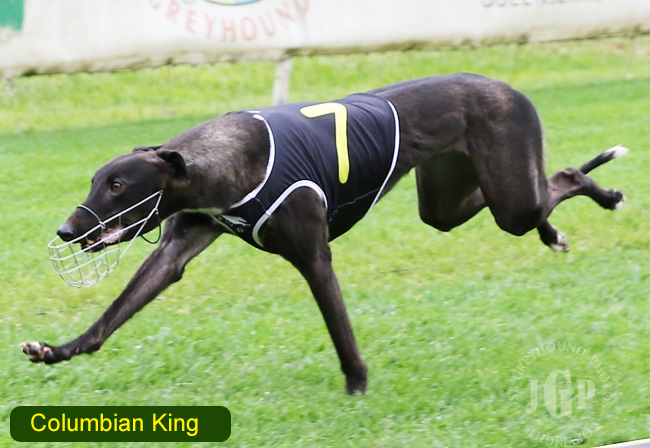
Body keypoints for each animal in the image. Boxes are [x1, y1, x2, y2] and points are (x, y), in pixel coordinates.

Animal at [21, 73, 626, 395]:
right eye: (96, 180)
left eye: (118, 184)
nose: (66, 229)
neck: (222, 161)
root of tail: (503, 85)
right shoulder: (177, 247)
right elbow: (114, 315)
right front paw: (57, 350)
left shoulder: (314, 257)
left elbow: (340, 331)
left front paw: (357, 385)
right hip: (450, 201)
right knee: (537, 194)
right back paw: (553, 232)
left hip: (508, 193)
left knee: (564, 178)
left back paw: (604, 196)